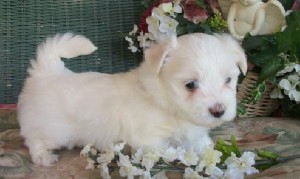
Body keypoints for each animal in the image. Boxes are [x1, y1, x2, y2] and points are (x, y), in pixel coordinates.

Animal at [17, 32, 246, 166]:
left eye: (228, 80)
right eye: (190, 85)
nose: (218, 110)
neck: (164, 101)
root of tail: (46, 72)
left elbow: (200, 142)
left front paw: (210, 151)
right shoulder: (148, 138)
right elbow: (169, 149)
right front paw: (182, 155)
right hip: (52, 129)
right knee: (34, 139)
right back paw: (43, 157)